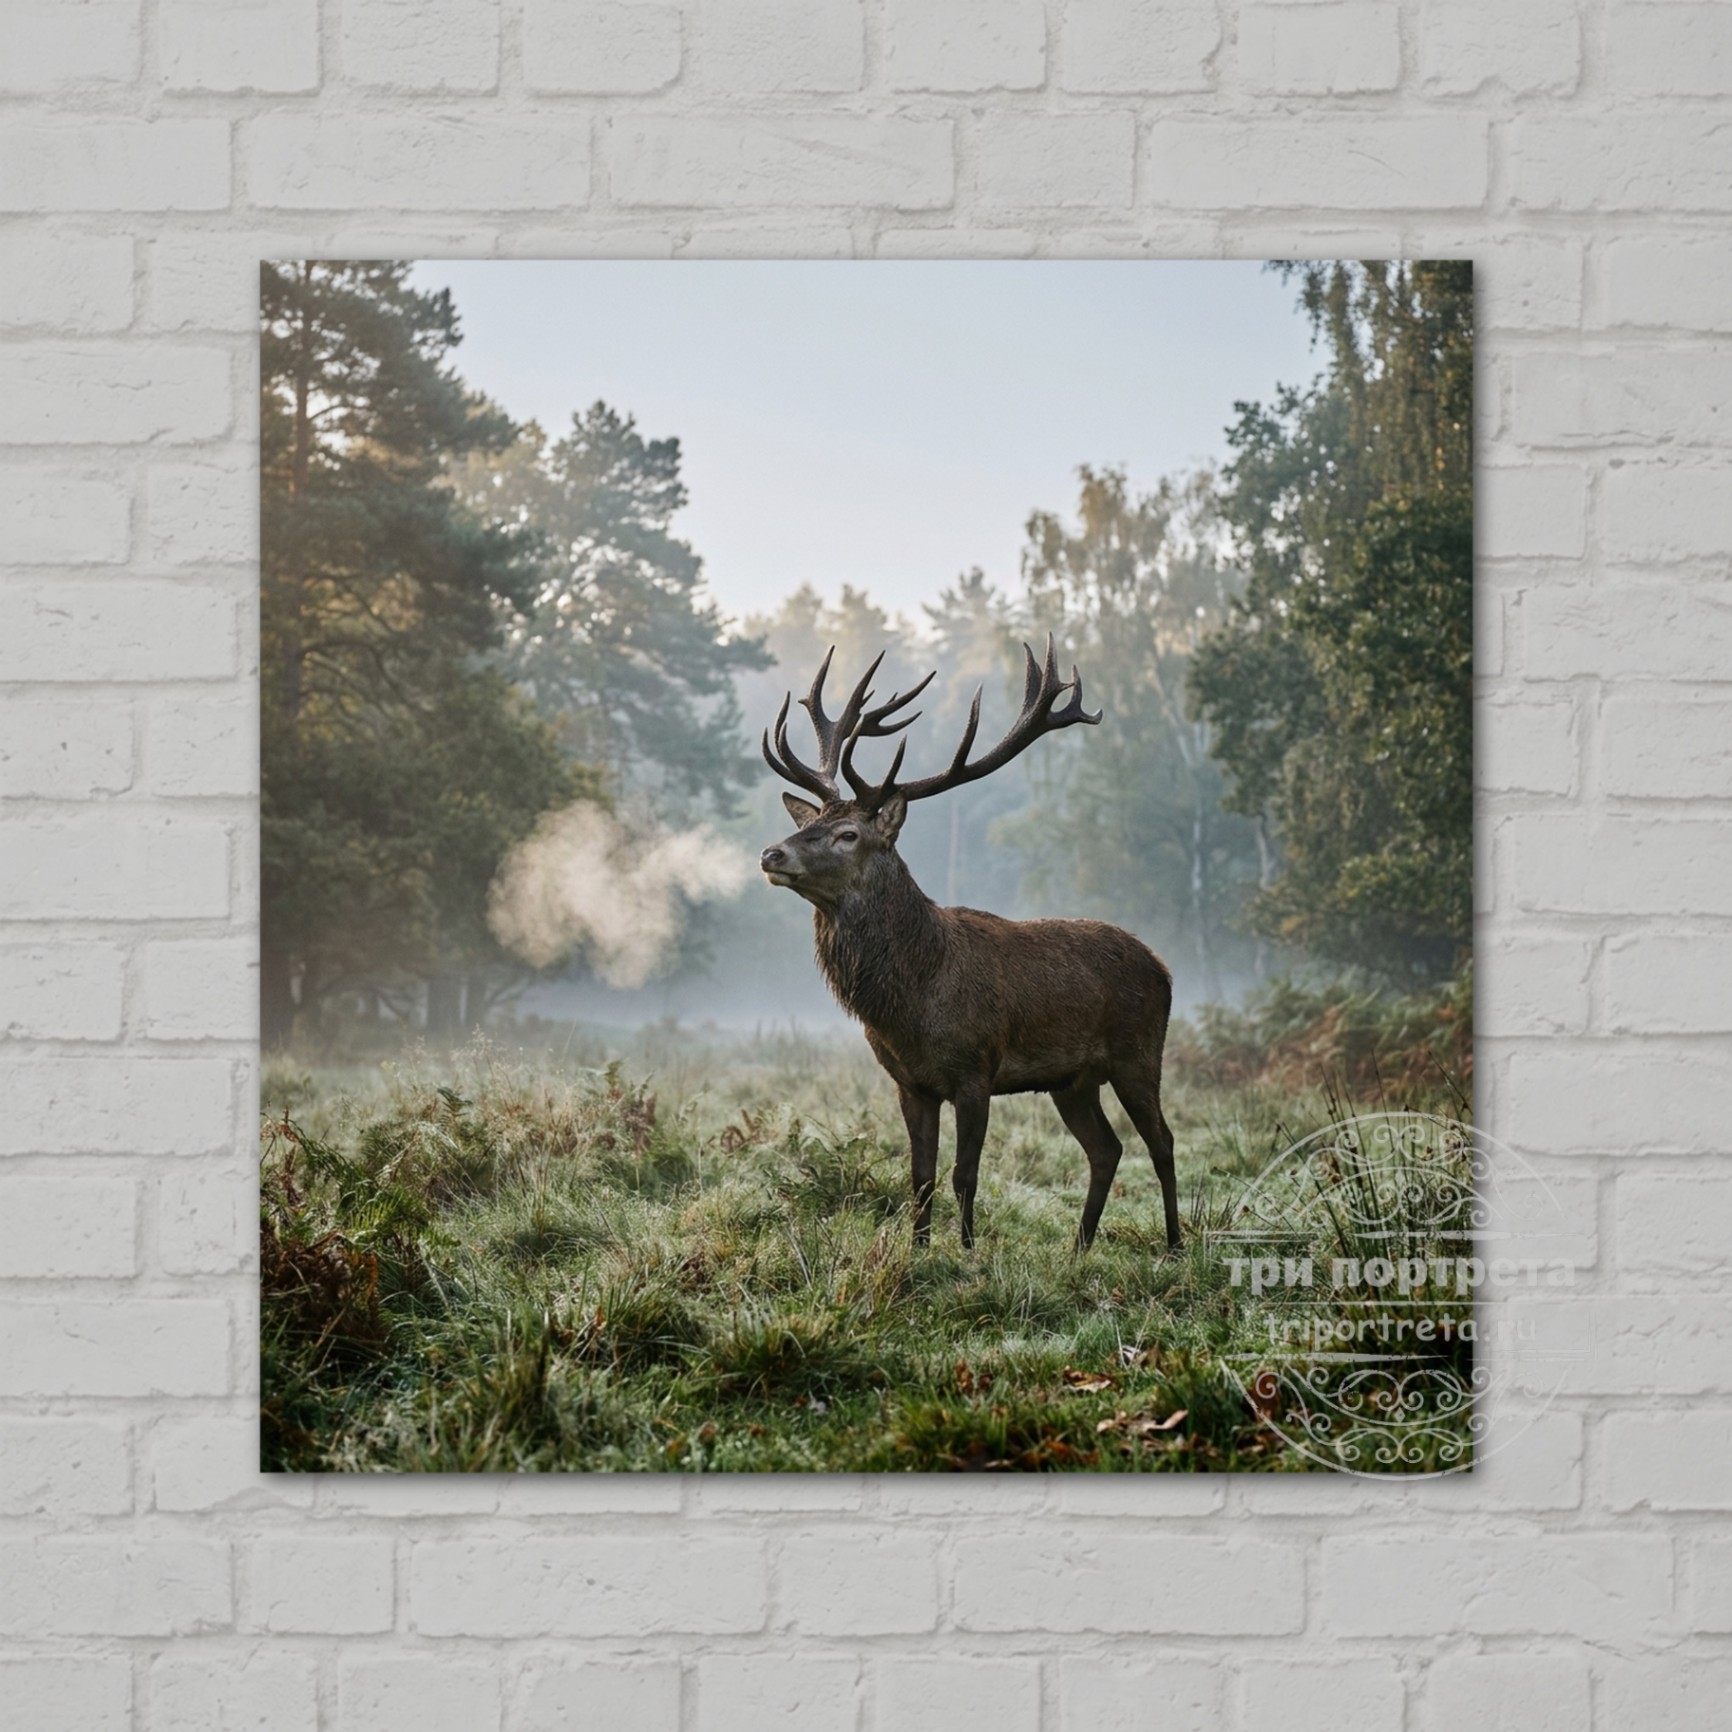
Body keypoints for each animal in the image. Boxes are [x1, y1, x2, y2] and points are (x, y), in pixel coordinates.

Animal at [758, 638, 1181, 1254]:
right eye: (807, 822)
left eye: (848, 834)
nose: (772, 853)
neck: (912, 1001)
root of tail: (1165, 968)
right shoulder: (910, 1082)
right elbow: (920, 1175)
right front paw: (917, 1251)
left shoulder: (975, 1070)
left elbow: (965, 1174)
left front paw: (967, 1252)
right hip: (1073, 1081)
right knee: (1107, 1148)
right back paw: (1079, 1247)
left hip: (1138, 1053)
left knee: (1162, 1141)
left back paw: (1175, 1243)